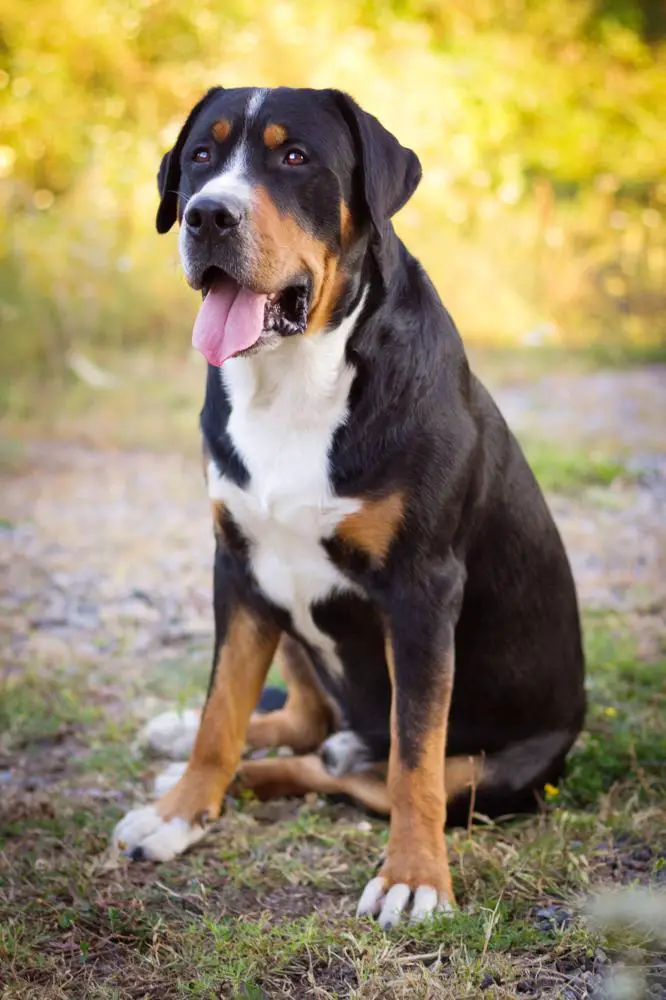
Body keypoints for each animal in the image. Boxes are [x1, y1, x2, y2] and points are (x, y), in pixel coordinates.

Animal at [111, 86, 584, 928]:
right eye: (202, 155)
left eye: (294, 156)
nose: (207, 215)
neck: (294, 380)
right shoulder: (238, 567)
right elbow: (220, 714)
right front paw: (177, 813)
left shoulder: (423, 592)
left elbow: (414, 758)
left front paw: (415, 877)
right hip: (281, 607)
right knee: (306, 722)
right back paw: (186, 747)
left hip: (495, 769)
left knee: (357, 766)